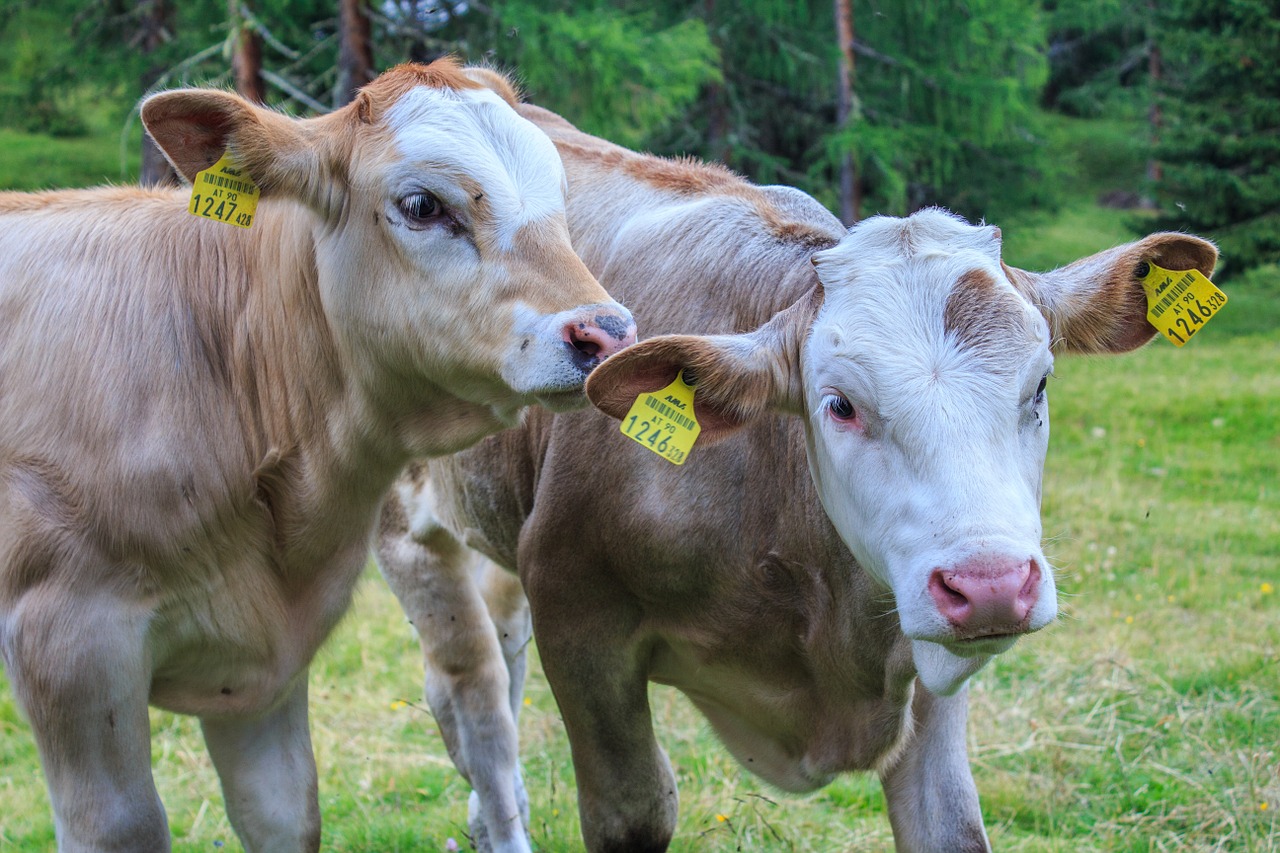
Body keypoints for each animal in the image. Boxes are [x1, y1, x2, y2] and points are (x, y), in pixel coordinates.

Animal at [0, 61, 634, 850]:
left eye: (559, 196)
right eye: (422, 204)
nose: (607, 333)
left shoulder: (262, 671)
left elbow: (287, 813)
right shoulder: (68, 650)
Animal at [373, 87, 1213, 850]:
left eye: (1038, 384)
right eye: (839, 403)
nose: (991, 584)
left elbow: (953, 825)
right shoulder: (576, 608)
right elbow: (632, 810)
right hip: (407, 531)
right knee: (475, 702)